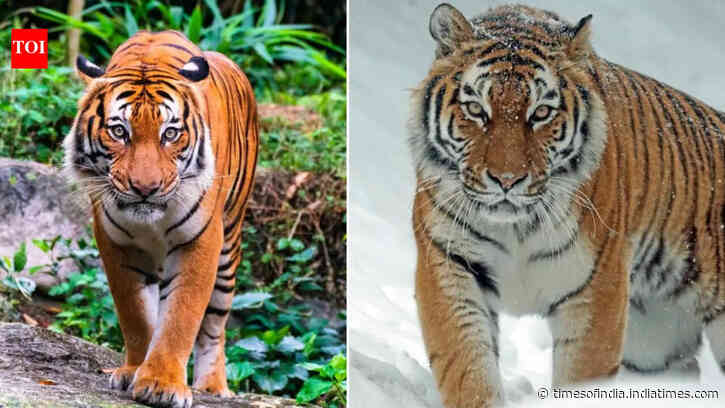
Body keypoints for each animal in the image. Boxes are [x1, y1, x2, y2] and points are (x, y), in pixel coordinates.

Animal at [63, 30, 258, 408]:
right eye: (119, 132)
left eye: (170, 133)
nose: (145, 188)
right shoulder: (116, 242)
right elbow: (136, 315)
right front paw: (133, 371)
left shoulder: (200, 240)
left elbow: (182, 315)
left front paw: (162, 384)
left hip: (229, 247)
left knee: (215, 326)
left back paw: (212, 386)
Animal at [409, 3, 725, 407]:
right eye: (477, 110)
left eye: (541, 113)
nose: (507, 180)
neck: (516, 228)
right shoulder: (451, 265)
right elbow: (468, 367)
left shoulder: (595, 289)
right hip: (655, 343)